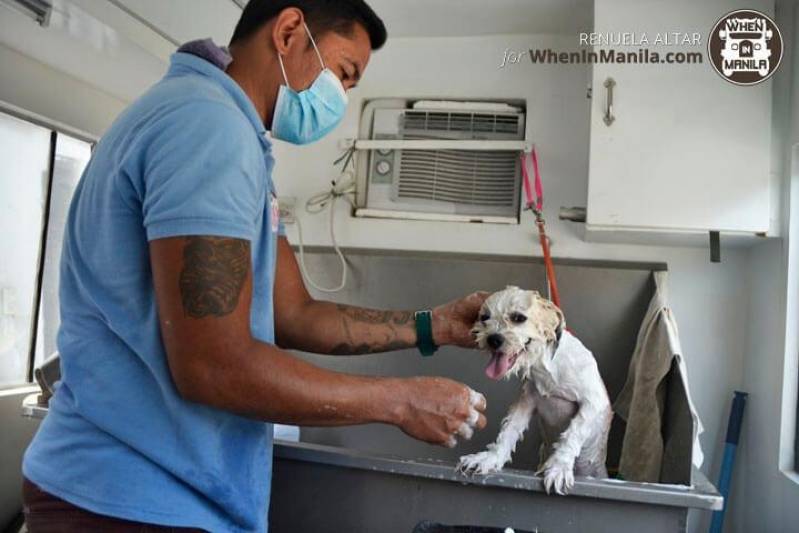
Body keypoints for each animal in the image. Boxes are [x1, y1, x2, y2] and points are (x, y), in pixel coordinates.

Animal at [456, 286, 612, 494]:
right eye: (484, 317)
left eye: (519, 317)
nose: (493, 339)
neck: (546, 367)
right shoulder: (526, 401)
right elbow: (508, 432)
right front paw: (489, 458)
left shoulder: (593, 401)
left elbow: (573, 434)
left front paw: (559, 467)